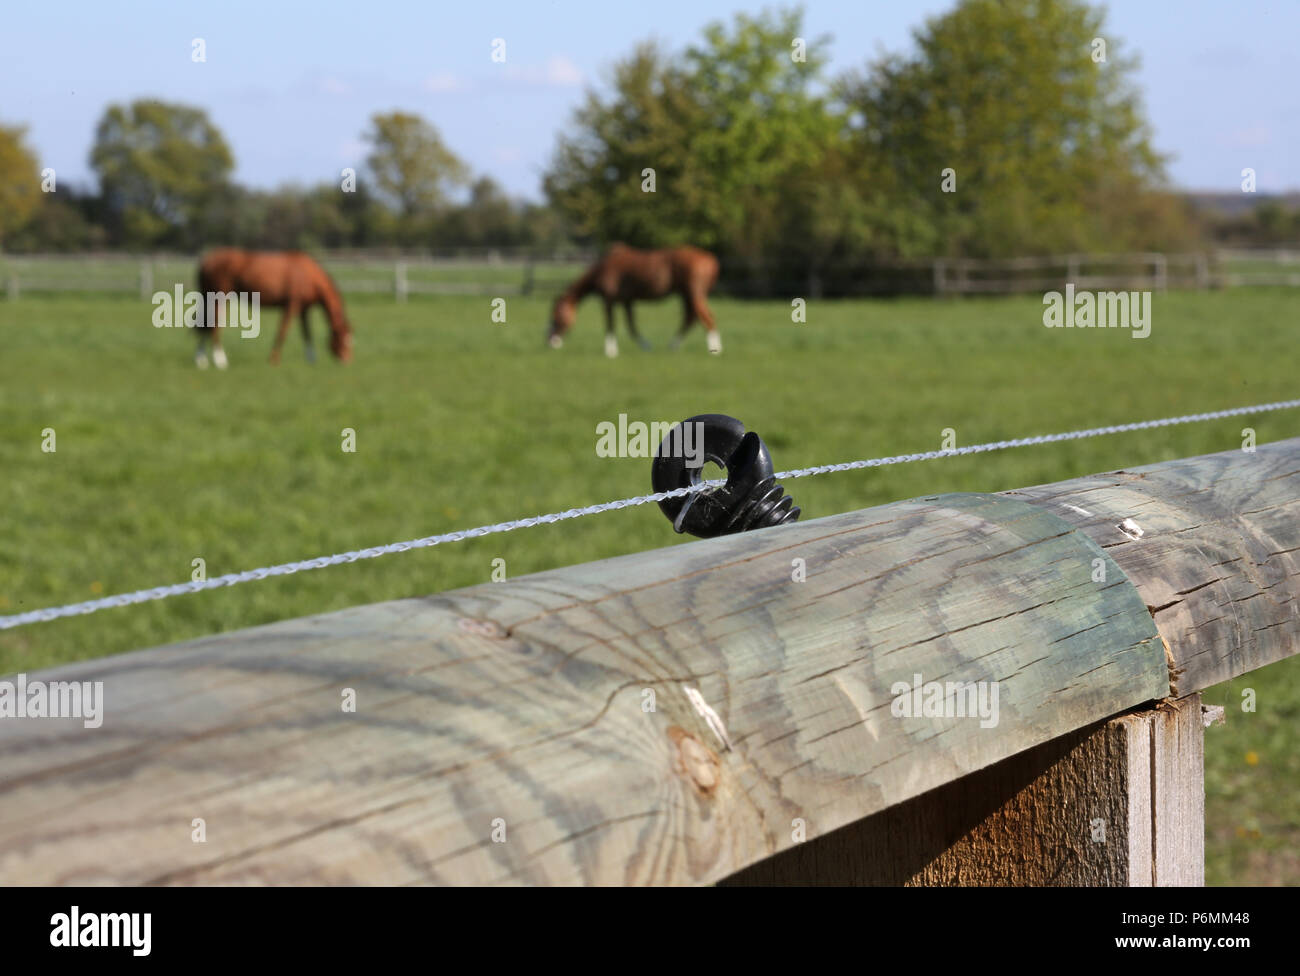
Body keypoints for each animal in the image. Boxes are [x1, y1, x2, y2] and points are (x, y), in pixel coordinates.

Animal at [193, 249, 353, 369]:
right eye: (344, 339)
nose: (347, 360)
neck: (308, 275)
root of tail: (206, 261)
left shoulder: (303, 309)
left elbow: (307, 333)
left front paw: (311, 359)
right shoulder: (291, 306)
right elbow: (282, 331)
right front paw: (274, 359)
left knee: (206, 327)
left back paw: (201, 360)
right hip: (220, 300)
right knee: (214, 327)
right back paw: (220, 361)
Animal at [548, 243, 722, 356]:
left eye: (556, 317)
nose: (550, 341)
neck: (603, 268)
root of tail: (710, 259)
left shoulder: (609, 300)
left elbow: (611, 324)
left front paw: (610, 351)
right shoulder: (627, 300)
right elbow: (631, 326)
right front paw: (646, 346)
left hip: (693, 294)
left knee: (706, 317)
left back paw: (715, 348)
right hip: (685, 294)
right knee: (691, 318)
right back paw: (674, 345)